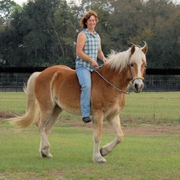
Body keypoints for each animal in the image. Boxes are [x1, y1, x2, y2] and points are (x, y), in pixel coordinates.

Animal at [9, 43, 148, 163]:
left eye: (144, 65)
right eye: (131, 64)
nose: (139, 85)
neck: (110, 83)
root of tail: (40, 74)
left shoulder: (112, 115)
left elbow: (120, 136)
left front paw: (103, 151)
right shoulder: (98, 114)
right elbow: (97, 135)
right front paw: (98, 157)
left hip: (56, 110)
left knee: (46, 128)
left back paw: (44, 152)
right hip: (47, 108)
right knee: (40, 125)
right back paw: (45, 149)